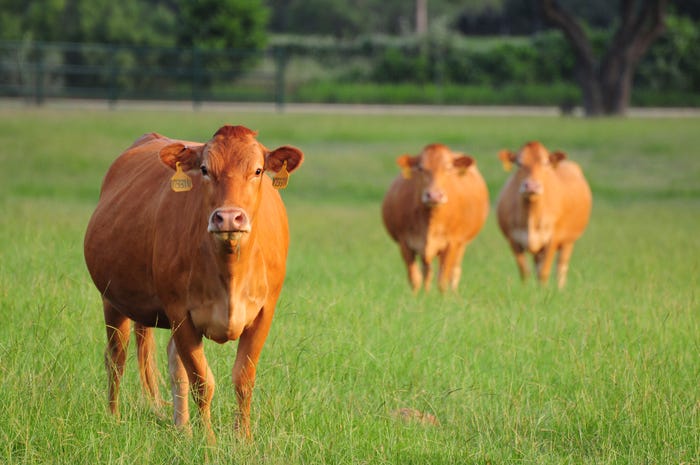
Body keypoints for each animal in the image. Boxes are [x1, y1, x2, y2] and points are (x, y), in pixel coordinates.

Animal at [83, 123, 302, 438]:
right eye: (204, 169)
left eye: (258, 170)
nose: (228, 218)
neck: (229, 272)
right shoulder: (181, 314)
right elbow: (202, 382)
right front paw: (209, 441)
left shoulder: (264, 313)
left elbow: (243, 380)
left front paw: (243, 439)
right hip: (112, 299)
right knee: (116, 358)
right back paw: (114, 418)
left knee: (174, 366)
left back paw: (182, 428)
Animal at [380, 143, 490, 292]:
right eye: (420, 168)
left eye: (448, 168)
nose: (434, 195)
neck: (430, 220)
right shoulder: (404, 243)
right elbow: (415, 278)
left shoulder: (452, 243)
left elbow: (442, 279)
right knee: (427, 271)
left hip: (462, 245)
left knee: (454, 272)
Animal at [494, 140, 592, 288]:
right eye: (519, 163)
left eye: (545, 163)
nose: (531, 186)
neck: (531, 214)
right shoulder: (513, 239)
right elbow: (525, 271)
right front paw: (526, 290)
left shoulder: (553, 239)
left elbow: (544, 271)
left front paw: (543, 291)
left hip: (568, 242)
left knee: (561, 268)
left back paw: (560, 288)